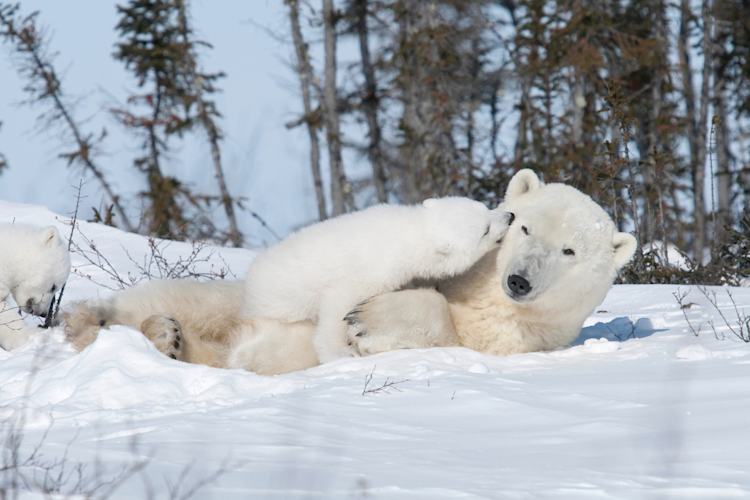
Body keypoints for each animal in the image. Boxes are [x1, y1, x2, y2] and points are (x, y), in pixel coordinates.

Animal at [242, 197, 513, 363]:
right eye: (485, 230)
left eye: (484, 207)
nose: (510, 216)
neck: (409, 232)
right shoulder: (370, 268)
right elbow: (338, 305)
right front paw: (341, 352)